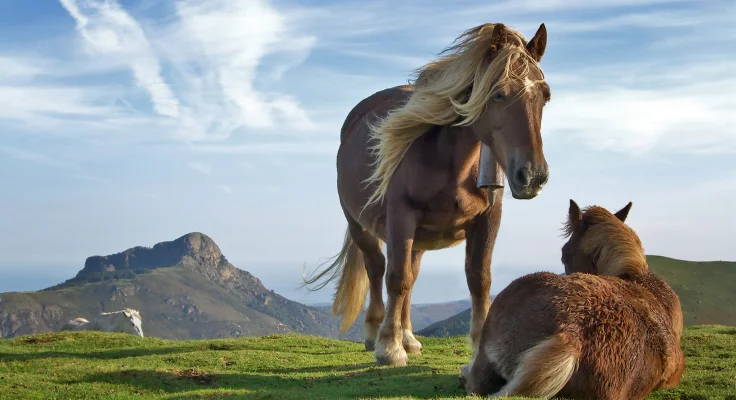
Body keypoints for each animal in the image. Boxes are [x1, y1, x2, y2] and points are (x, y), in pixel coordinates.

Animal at [303, 22, 552, 367]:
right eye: (499, 93)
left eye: (545, 96)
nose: (532, 176)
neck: (450, 162)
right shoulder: (400, 217)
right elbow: (396, 278)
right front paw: (389, 348)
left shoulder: (488, 219)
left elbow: (479, 279)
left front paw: (478, 348)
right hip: (360, 225)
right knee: (377, 268)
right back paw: (375, 332)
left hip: (420, 237)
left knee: (412, 274)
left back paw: (408, 336)